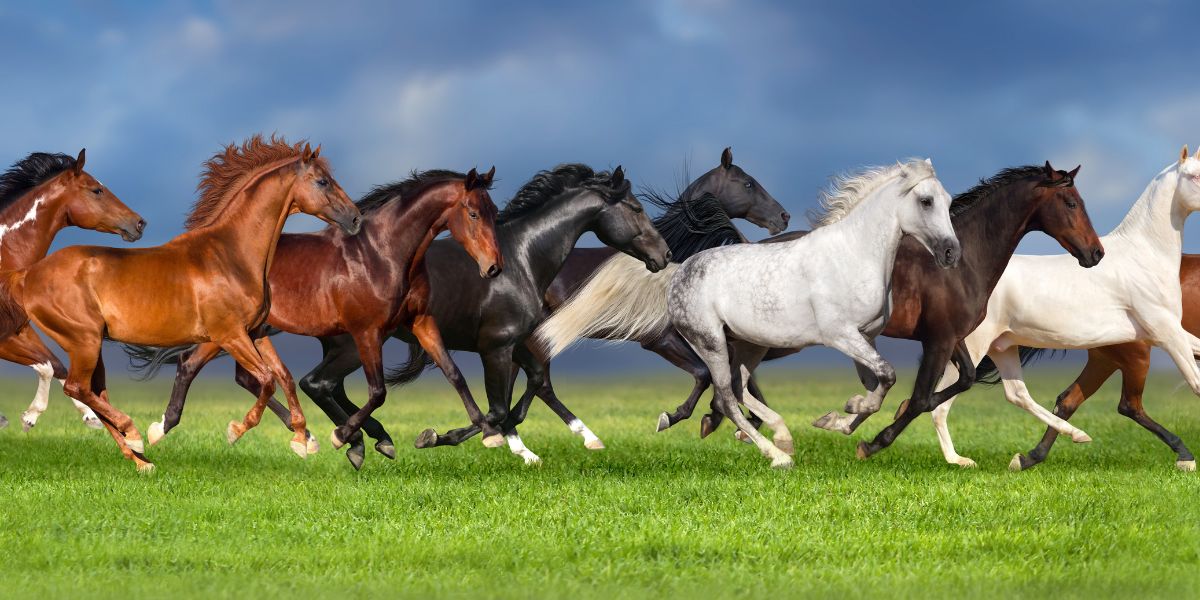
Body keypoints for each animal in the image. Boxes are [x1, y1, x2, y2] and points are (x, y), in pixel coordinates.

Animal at [0, 150, 145, 431]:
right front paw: (29, 415)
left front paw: (90, 416)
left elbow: (56, 365)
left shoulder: (20, 329)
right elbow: (48, 365)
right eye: (97, 190)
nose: (139, 223)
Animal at [124, 167, 505, 470]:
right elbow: (377, 391)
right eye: (473, 213)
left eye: (493, 211)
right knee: (193, 364)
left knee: (252, 378)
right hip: (228, 333)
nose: (493, 267)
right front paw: (346, 437)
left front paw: (486, 433)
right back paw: (160, 430)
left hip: (250, 332)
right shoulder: (367, 331)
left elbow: (454, 375)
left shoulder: (420, 321)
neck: (384, 253)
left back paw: (302, 436)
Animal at [268, 164, 670, 465]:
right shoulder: (496, 346)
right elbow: (498, 407)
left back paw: (368, 440)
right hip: (355, 345)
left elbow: (530, 386)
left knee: (324, 385)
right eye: (636, 209)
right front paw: (436, 437)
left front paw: (553, 443)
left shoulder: (516, 342)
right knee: (319, 383)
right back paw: (354, 439)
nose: (664, 255)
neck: (522, 259)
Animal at [1009, 254, 1200, 471]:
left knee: (1068, 401)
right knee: (1129, 405)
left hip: (1105, 359)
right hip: (1136, 357)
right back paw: (1184, 455)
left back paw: (1029, 458)